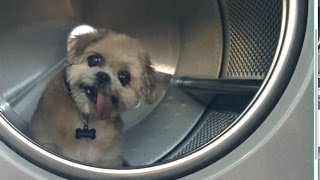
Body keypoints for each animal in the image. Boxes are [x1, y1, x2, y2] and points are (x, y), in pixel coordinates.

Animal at [30, 28, 160, 167]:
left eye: (124, 77)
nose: (104, 76)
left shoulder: (109, 160)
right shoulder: (47, 142)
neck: (87, 115)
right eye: (94, 60)